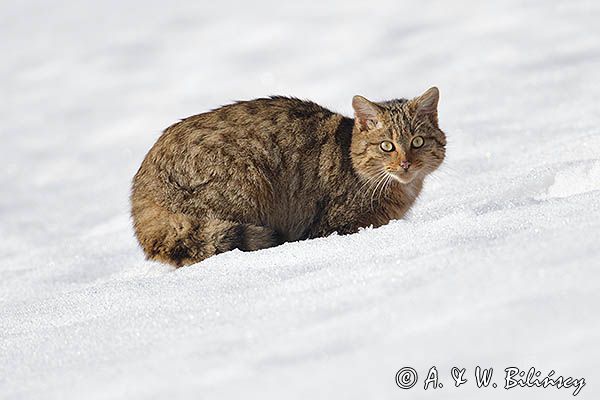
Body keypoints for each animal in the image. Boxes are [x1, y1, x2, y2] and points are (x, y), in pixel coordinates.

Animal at [134, 86, 448, 268]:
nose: (406, 163)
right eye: (387, 146)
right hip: (243, 184)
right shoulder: (332, 224)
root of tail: (140, 194)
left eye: (418, 142)